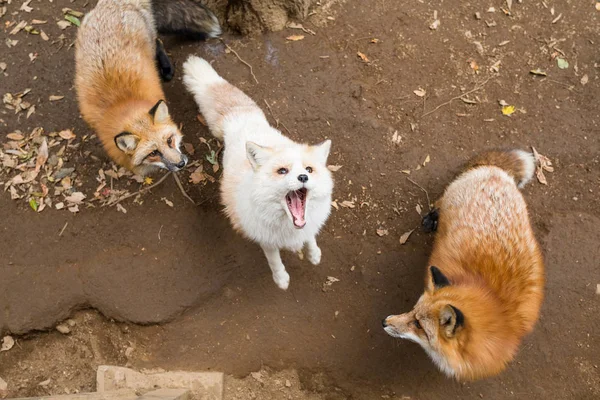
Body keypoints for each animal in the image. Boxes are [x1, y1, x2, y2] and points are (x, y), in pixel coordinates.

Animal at [75, 0, 220, 175]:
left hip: (150, 40)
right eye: (153, 153)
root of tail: (115, 3)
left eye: (169, 140)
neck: (122, 103)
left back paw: (166, 69)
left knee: (158, 42)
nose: (181, 164)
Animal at [183, 56, 332, 290]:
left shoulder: (309, 225)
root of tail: (244, 118)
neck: (289, 228)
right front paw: (281, 280)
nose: (303, 177)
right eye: (282, 171)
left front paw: (314, 253)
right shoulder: (266, 240)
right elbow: (275, 262)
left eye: (309, 169)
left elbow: (311, 238)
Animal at [384, 148, 544, 380]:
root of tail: (494, 171)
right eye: (413, 311)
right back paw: (431, 219)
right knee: (438, 203)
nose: (384, 322)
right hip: (449, 198)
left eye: (418, 324)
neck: (497, 306)